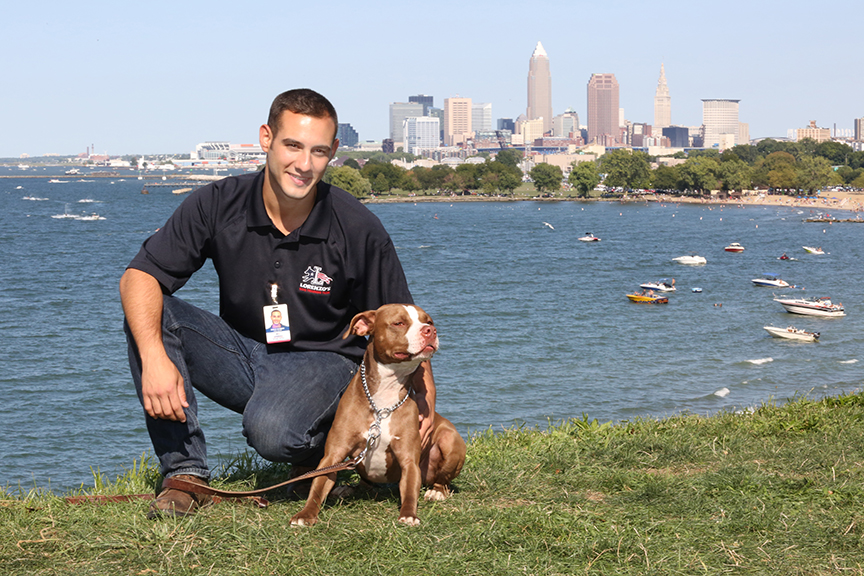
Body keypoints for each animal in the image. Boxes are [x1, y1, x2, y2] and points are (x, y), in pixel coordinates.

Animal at [290, 306, 466, 528]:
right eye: (399, 323)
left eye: (429, 321)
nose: (430, 331)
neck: (384, 400)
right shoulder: (333, 455)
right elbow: (317, 486)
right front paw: (305, 514)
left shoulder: (409, 460)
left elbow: (410, 490)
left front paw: (409, 514)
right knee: (365, 484)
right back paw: (348, 488)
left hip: (449, 440)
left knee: (443, 480)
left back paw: (437, 492)